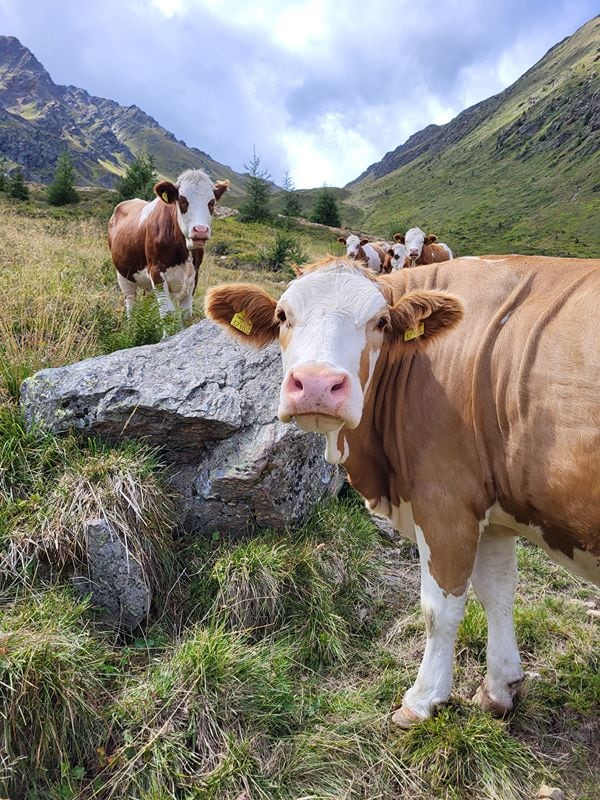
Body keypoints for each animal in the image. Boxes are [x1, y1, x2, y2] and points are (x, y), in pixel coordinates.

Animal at [108, 169, 229, 325]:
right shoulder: (156, 272)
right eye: (182, 200)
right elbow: (167, 315)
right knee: (130, 303)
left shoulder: (194, 275)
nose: (200, 230)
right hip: (123, 274)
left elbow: (186, 316)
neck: (184, 253)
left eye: (211, 202)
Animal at [205, 254, 600, 730]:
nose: (317, 384)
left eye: (379, 321)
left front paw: (423, 700)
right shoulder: (491, 509)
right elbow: (498, 591)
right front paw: (499, 689)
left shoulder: (444, 499)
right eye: (282, 315)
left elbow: (439, 609)